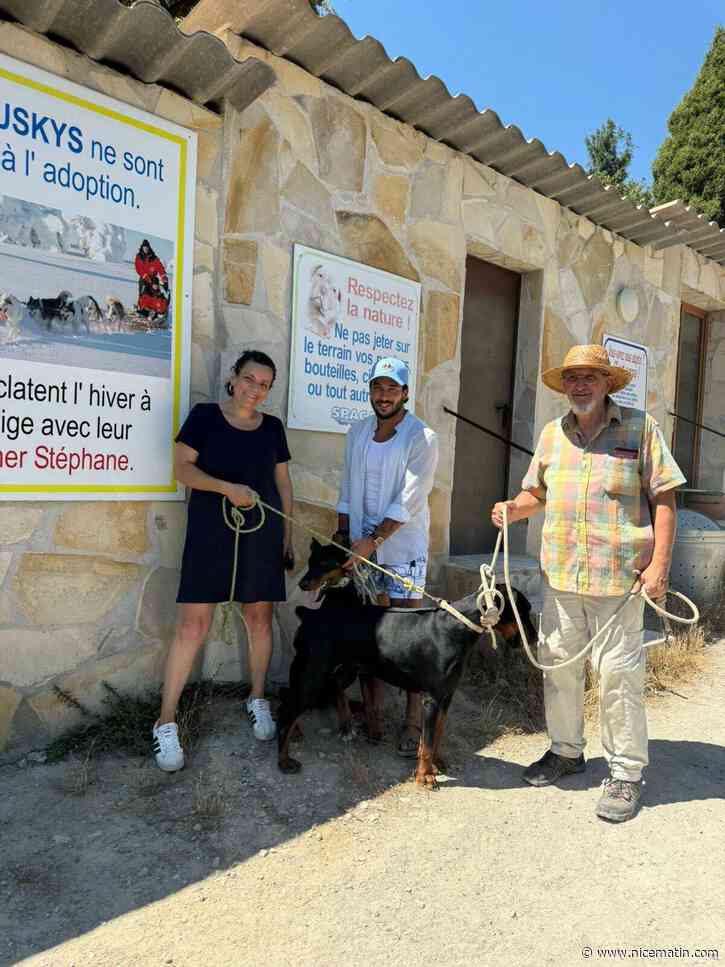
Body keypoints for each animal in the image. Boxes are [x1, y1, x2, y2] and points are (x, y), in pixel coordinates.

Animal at [280, 536, 536, 788]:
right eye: (523, 610)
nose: (534, 638)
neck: (456, 627)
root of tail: (309, 615)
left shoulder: (446, 696)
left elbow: (435, 735)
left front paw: (435, 762)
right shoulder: (432, 698)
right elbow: (429, 739)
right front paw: (425, 776)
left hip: (345, 670)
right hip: (311, 674)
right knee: (288, 708)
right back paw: (285, 758)